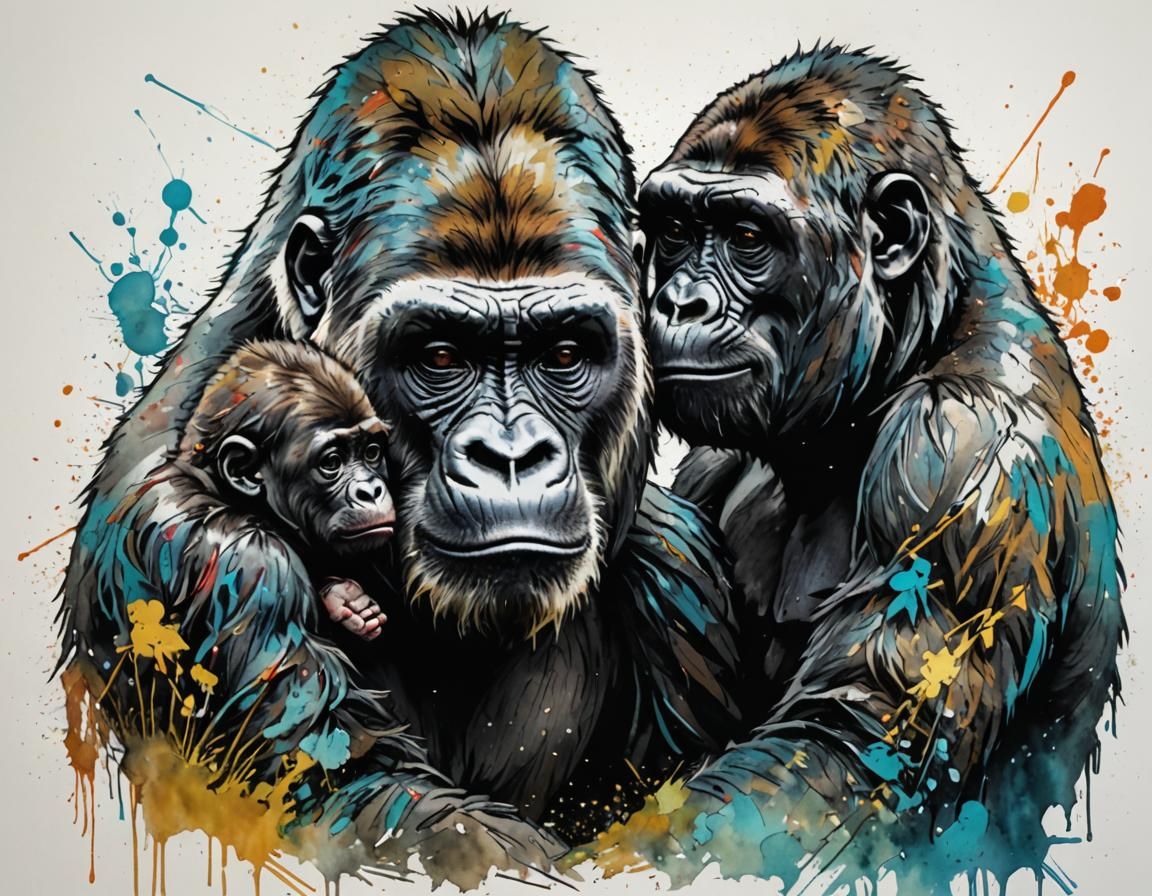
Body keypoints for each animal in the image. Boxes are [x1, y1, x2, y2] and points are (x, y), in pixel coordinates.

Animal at [58, 11, 743, 888]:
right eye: (439, 355)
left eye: (564, 352)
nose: (511, 458)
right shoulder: (204, 551)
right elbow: (350, 796)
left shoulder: (682, 572)